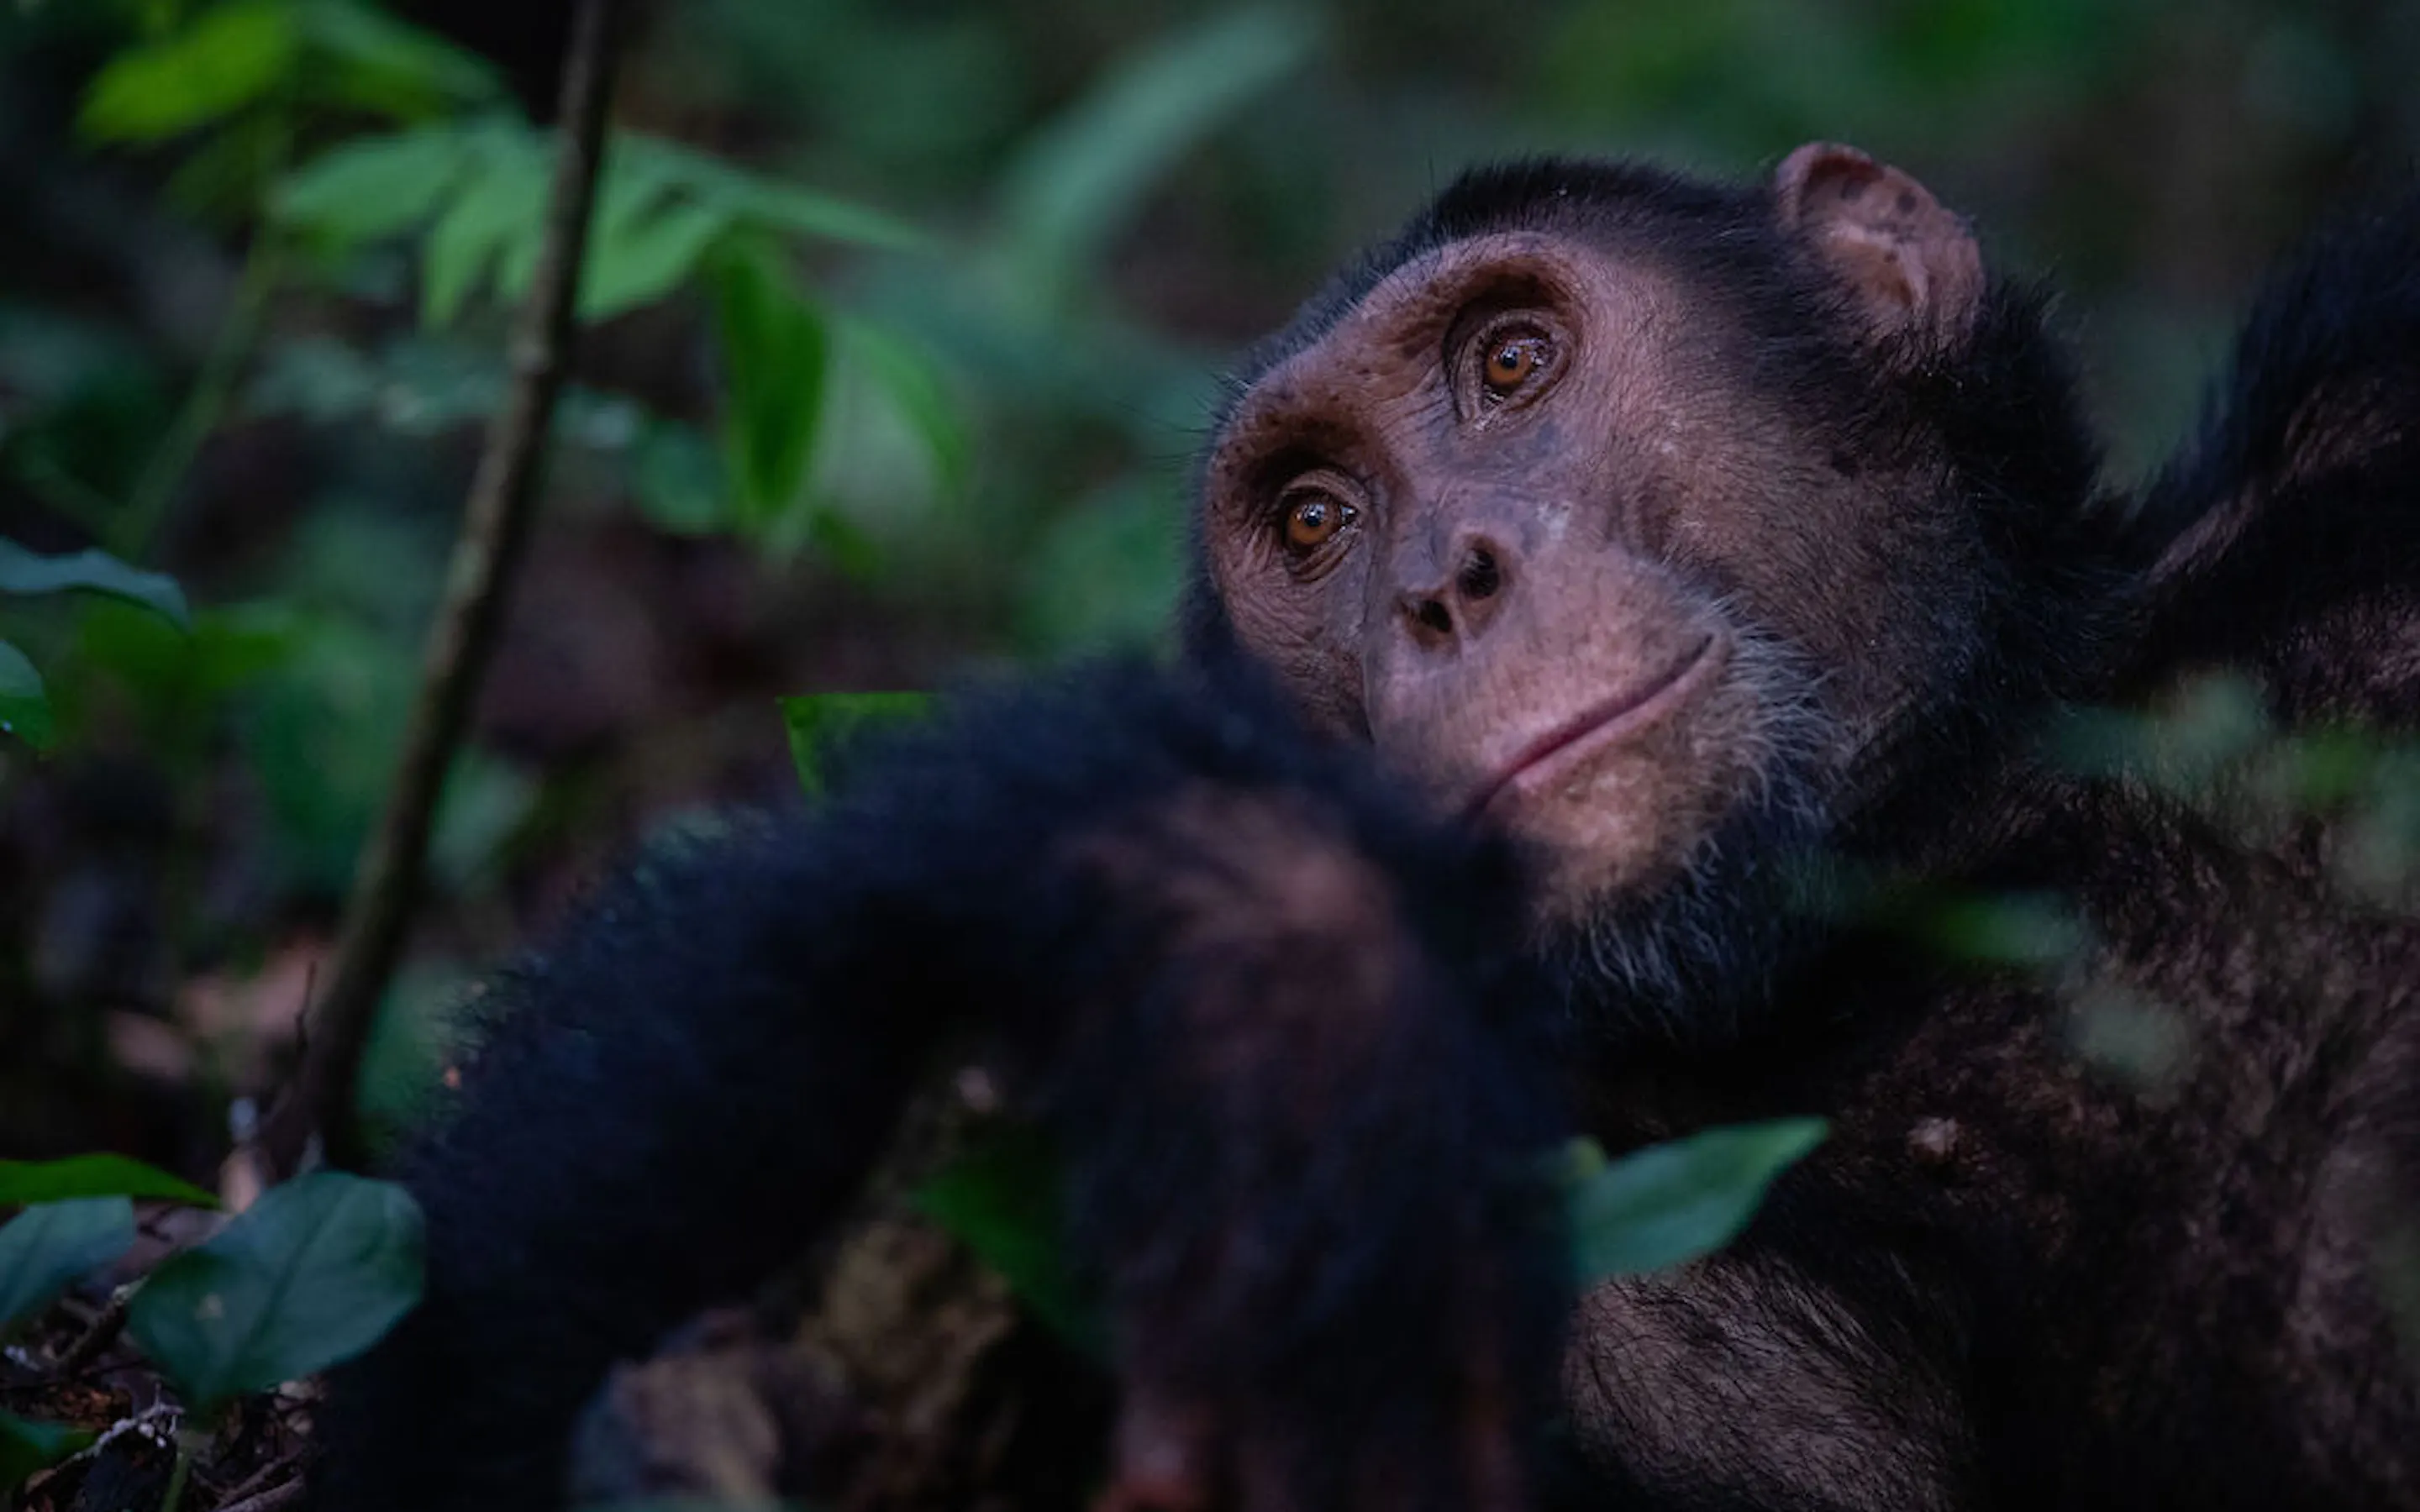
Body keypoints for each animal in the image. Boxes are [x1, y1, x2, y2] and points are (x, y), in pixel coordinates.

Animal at [311, 144, 2420, 1512]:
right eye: (1315, 521)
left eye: (1511, 361)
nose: (1441, 583)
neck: (1925, 857)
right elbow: (503, 1353)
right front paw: (1275, 958)